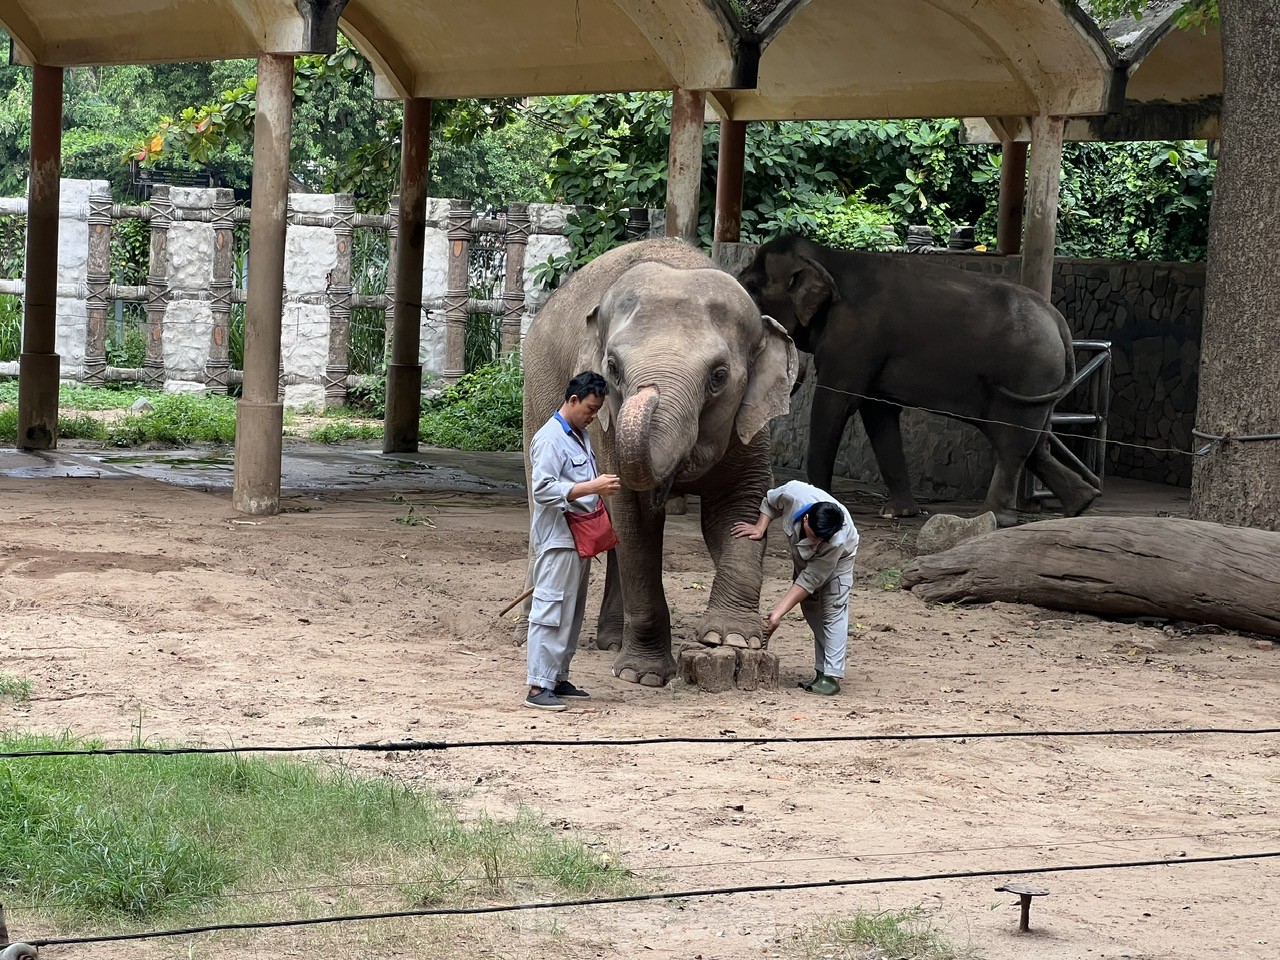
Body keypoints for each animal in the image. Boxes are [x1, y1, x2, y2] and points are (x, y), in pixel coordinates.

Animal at [519, 240, 798, 691]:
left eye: (719, 376)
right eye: (613, 367)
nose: (646, 390)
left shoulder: (752, 427)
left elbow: (738, 508)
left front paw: (733, 639)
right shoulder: (610, 431)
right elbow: (634, 523)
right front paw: (643, 675)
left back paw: (612, 642)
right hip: (537, 389)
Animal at [742, 236, 1100, 529]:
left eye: (752, 288)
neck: (825, 257)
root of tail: (1059, 322)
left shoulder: (853, 338)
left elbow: (836, 403)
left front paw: (821, 502)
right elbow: (878, 414)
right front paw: (898, 514)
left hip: (1028, 373)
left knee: (1012, 442)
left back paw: (995, 517)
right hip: (1039, 385)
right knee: (1032, 442)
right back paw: (1082, 504)